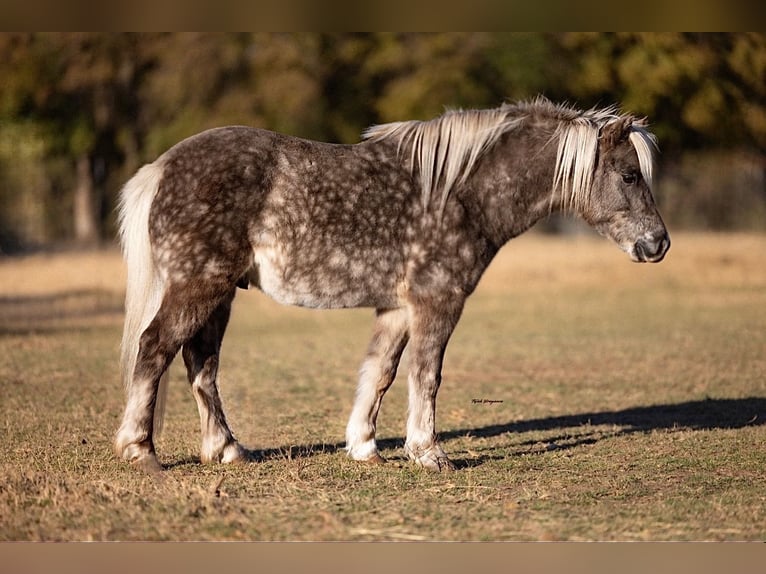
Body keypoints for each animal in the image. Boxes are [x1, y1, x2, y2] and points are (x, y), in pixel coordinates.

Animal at [114, 96, 670, 473]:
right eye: (628, 175)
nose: (658, 244)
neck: (459, 193)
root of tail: (161, 167)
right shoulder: (437, 302)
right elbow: (426, 375)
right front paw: (428, 453)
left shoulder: (399, 308)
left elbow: (380, 371)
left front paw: (363, 446)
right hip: (199, 286)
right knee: (155, 347)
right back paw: (140, 449)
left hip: (220, 293)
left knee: (200, 364)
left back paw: (227, 450)